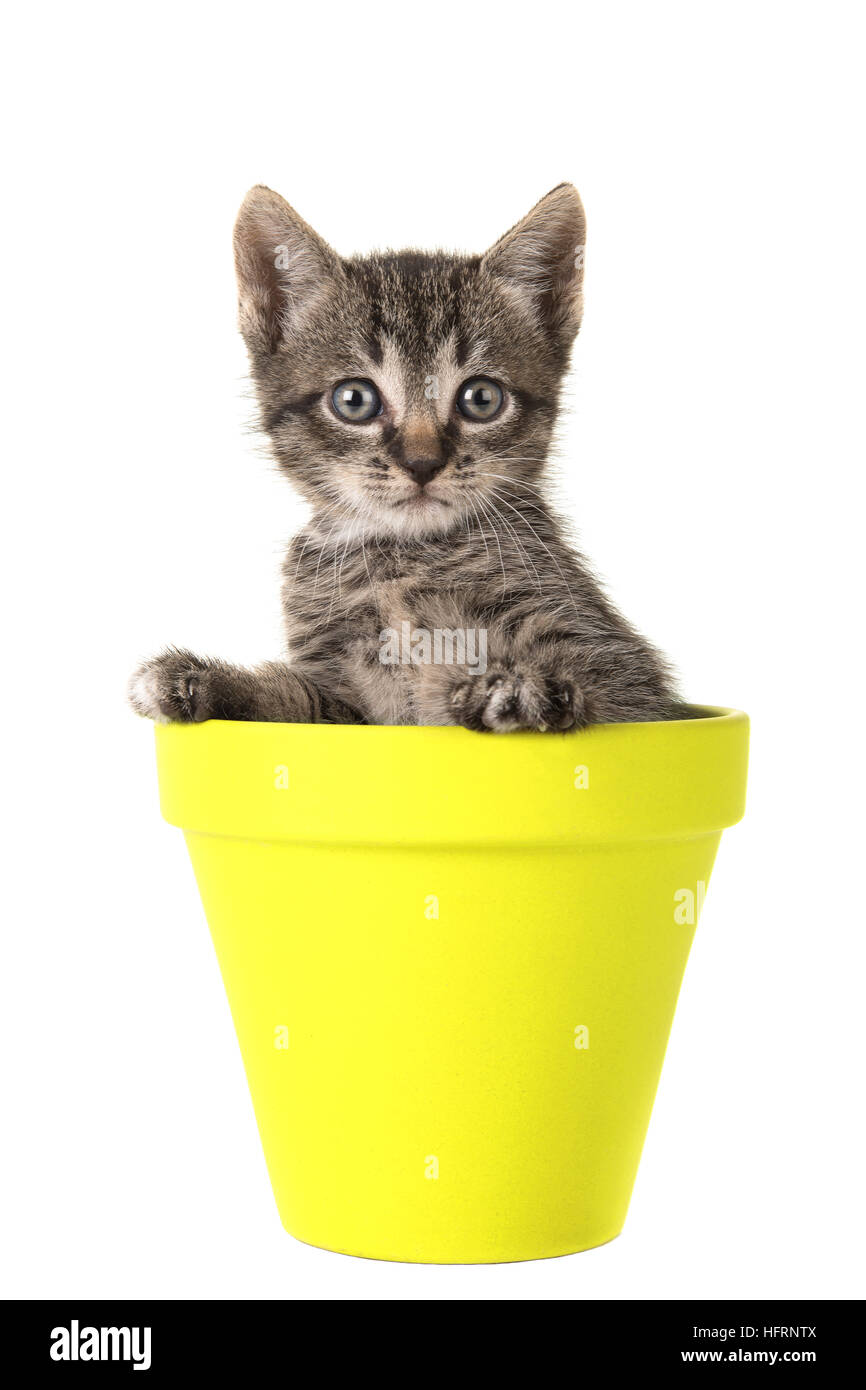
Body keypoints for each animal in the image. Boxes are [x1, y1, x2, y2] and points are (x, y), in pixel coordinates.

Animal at [132, 182, 681, 739]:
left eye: (482, 398)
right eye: (354, 400)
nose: (422, 463)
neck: (402, 558)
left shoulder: (623, 681)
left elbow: (594, 694)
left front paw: (519, 688)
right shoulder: (348, 700)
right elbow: (297, 701)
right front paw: (204, 681)